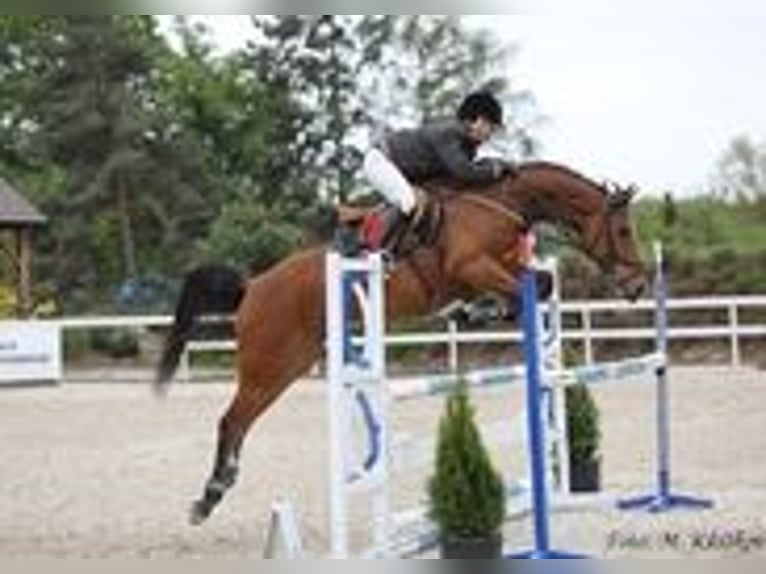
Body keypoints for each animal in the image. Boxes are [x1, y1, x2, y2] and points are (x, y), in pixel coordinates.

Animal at [155, 160, 648, 525]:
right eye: (624, 231)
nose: (638, 286)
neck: (502, 203)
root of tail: (252, 286)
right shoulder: (472, 266)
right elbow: (531, 287)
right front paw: (485, 311)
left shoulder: (499, 269)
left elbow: (539, 283)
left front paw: (480, 312)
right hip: (269, 367)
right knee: (231, 421)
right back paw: (208, 497)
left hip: (292, 363)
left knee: (239, 423)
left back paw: (217, 490)